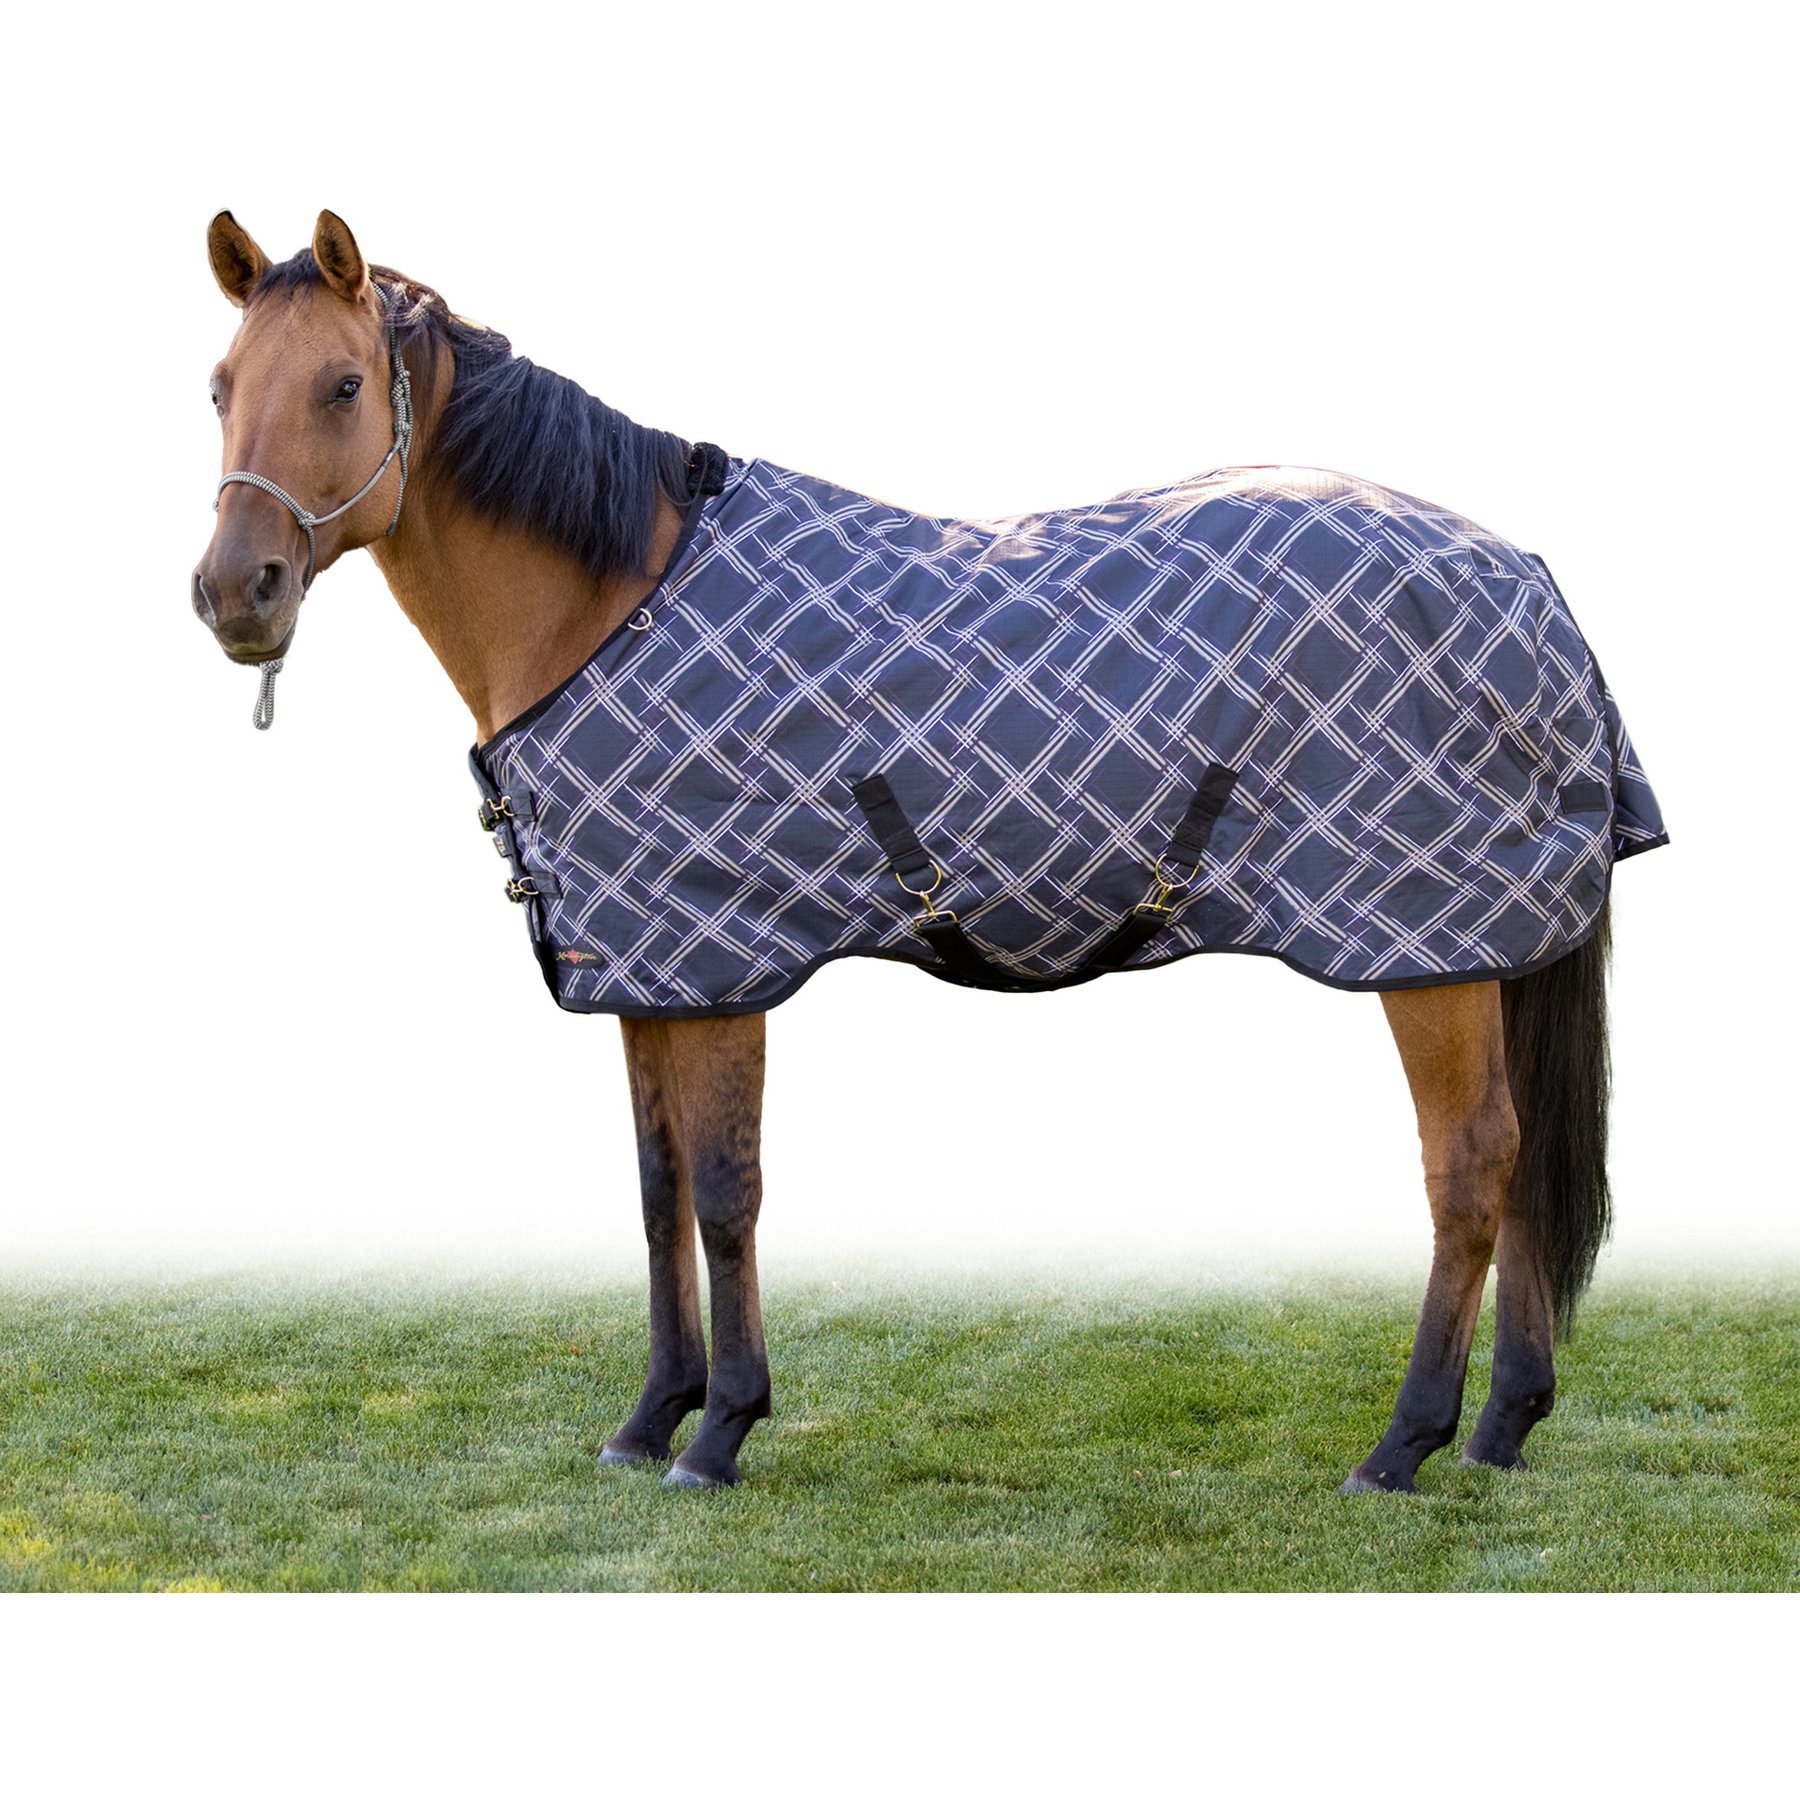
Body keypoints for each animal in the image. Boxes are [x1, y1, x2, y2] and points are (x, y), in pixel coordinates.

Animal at [193, 210, 1666, 1494]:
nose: (232, 594)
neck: (611, 602)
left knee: (1469, 1168)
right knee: (1522, 1168)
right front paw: (649, 1417)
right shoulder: (648, 966)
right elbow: (658, 1191)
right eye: (218, 389)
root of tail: (1530, 581)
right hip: (1489, 944)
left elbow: (725, 1192)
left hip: (1428, 950)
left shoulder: (722, 966)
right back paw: (1501, 1430)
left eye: (341, 384)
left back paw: (1402, 1446)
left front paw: (720, 1432)